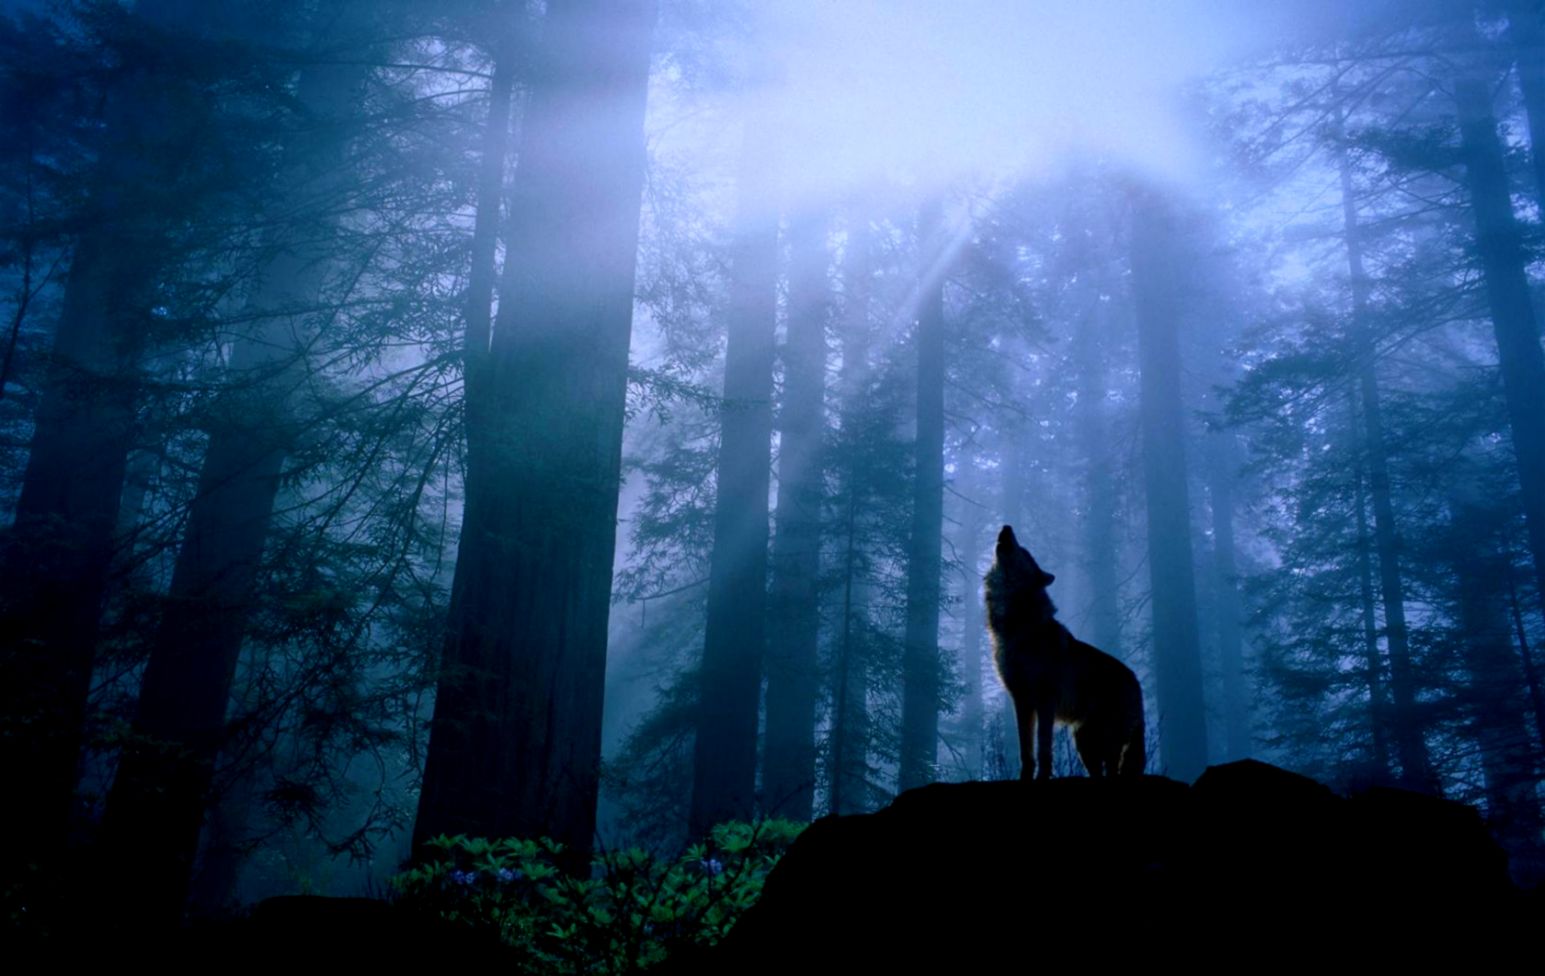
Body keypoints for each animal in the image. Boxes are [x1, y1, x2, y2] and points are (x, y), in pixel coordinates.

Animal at [984, 525, 1145, 780]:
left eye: (1024, 551)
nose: (1006, 527)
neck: (1018, 626)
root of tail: (1137, 682)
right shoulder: (1021, 701)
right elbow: (1026, 751)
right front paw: (1025, 778)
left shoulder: (1045, 701)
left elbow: (1043, 749)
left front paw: (1042, 777)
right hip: (1084, 743)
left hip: (1105, 742)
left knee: (1112, 770)